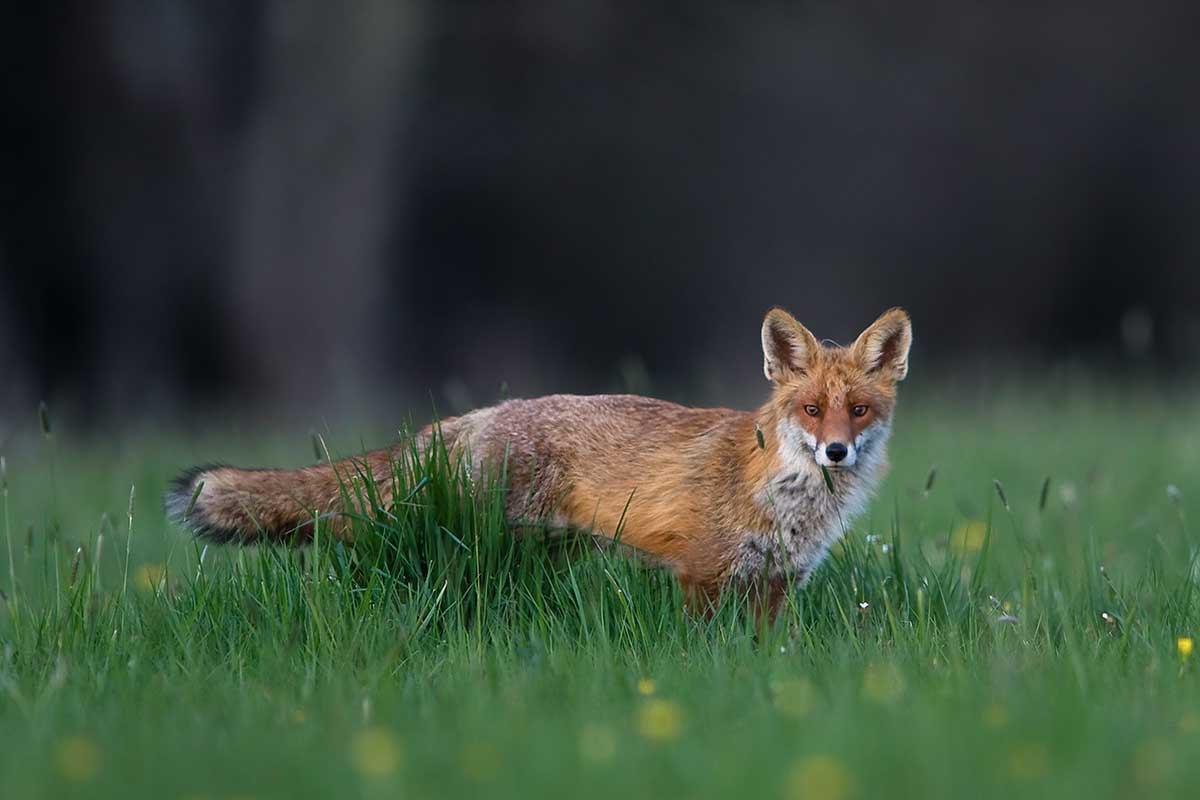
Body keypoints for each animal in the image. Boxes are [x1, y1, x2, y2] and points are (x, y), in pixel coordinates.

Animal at [166, 307, 911, 617]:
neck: (786, 500)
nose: (836, 451)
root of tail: (474, 415)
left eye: (858, 411)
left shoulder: (778, 586)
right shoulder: (701, 577)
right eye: (811, 410)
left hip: (540, 552)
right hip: (478, 546)